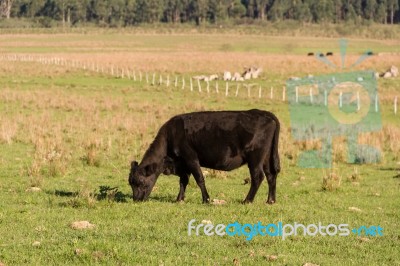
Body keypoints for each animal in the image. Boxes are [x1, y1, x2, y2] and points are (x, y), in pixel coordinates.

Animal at [130, 109, 280, 205]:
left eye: (140, 182)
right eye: (130, 183)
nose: (136, 200)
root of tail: (263, 113)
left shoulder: (191, 158)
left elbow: (199, 179)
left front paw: (206, 200)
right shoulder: (183, 164)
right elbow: (183, 181)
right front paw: (179, 199)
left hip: (255, 158)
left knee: (258, 177)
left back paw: (247, 200)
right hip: (266, 158)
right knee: (271, 175)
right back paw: (270, 201)